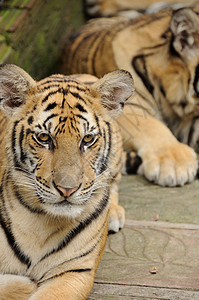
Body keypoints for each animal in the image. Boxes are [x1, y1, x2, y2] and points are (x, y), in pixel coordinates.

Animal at [0, 64, 134, 298]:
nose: (67, 190)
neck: (41, 223)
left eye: (87, 139)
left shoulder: (75, 271)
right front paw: (24, 284)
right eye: (44, 138)